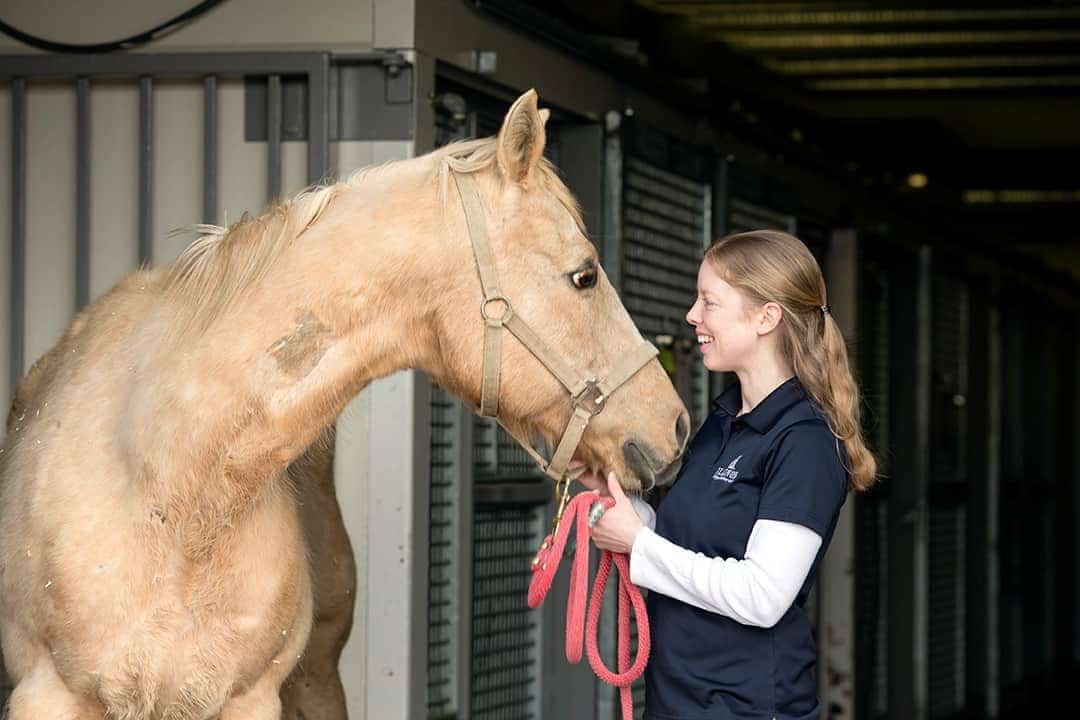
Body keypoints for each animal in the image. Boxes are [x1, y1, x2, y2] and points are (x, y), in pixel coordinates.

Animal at [0, 90, 686, 720]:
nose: (675, 426)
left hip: (318, 678)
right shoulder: (46, 695)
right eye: (584, 275)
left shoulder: (251, 699)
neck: (169, 486)